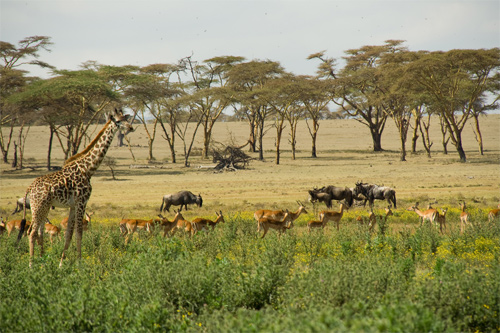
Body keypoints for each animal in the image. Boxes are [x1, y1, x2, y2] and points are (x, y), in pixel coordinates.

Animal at [18, 108, 134, 264]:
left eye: (126, 119)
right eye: (118, 121)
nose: (131, 128)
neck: (88, 169)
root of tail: (29, 188)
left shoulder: (73, 205)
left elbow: (69, 234)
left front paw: (61, 263)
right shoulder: (82, 202)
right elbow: (79, 232)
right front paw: (79, 263)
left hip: (42, 207)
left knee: (37, 232)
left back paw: (41, 262)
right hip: (39, 206)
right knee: (32, 232)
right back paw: (32, 265)